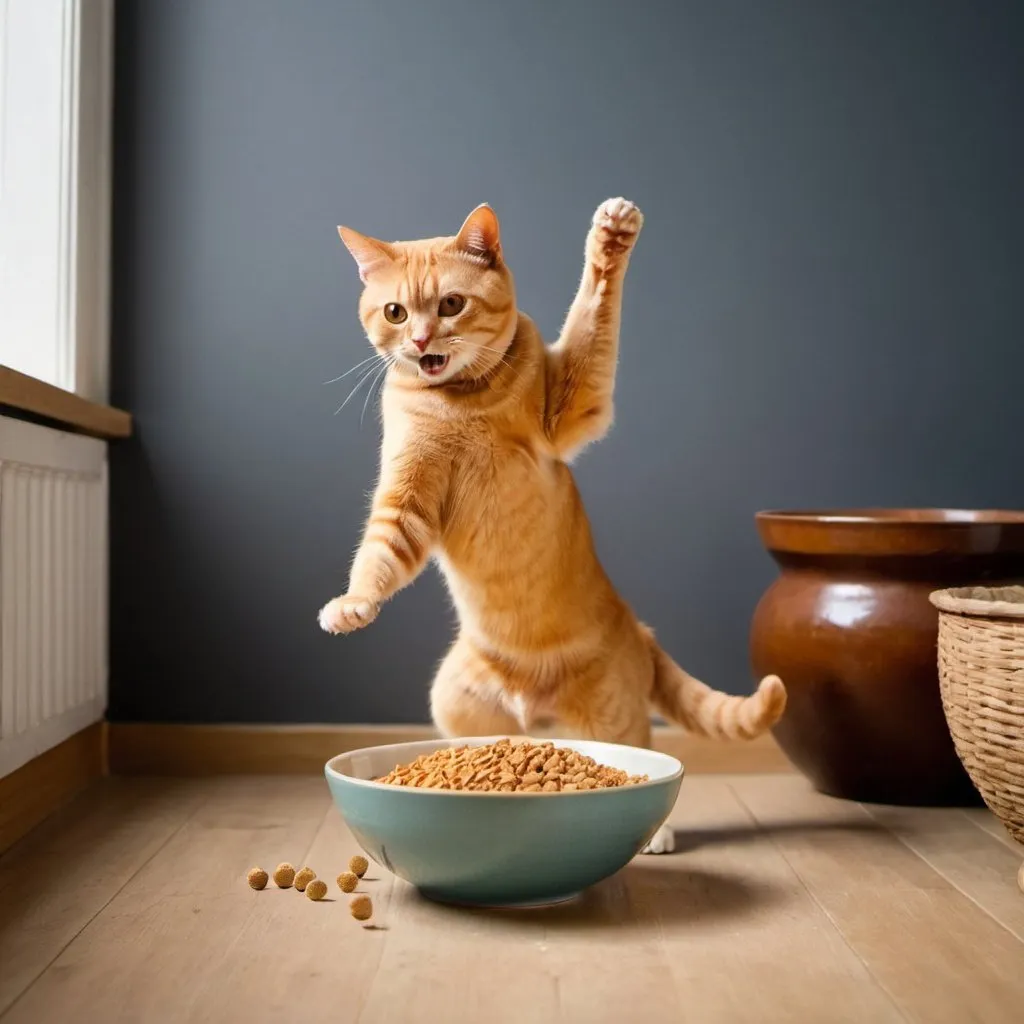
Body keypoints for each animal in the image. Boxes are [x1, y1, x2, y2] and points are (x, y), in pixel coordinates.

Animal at [317, 195, 782, 851]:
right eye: (395, 312)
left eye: (451, 304)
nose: (420, 339)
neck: (462, 398)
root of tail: (640, 630)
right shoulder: (407, 498)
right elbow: (378, 557)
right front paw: (353, 605)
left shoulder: (573, 404)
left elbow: (594, 314)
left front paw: (611, 237)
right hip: (453, 700)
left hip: (613, 716)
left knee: (643, 758)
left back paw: (657, 831)